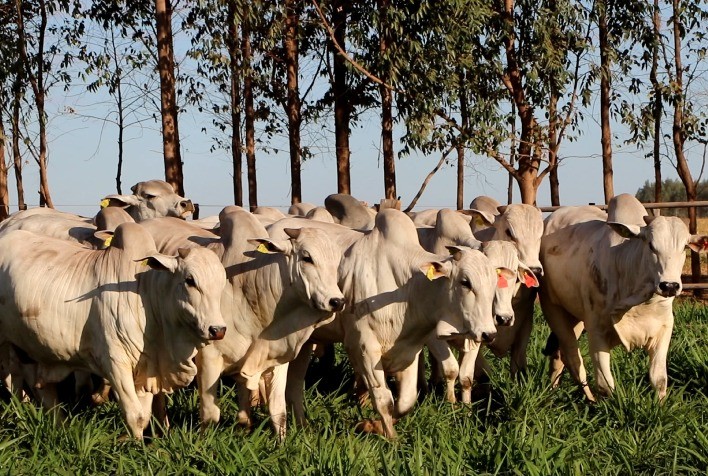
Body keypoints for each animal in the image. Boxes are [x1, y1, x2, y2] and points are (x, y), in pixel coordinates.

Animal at [0, 223, 227, 438]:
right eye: (190, 280)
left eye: (222, 282)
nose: (218, 329)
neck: (145, 295)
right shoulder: (115, 362)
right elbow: (136, 415)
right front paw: (136, 447)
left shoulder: (146, 366)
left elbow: (145, 413)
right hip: (5, 344)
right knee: (13, 381)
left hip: (30, 348)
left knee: (40, 387)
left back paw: (59, 425)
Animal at [540, 197, 704, 402]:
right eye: (651, 245)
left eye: (684, 247)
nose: (670, 286)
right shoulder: (597, 331)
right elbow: (606, 385)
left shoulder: (664, 328)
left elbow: (658, 380)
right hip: (552, 307)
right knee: (573, 358)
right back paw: (589, 400)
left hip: (574, 316)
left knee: (559, 356)